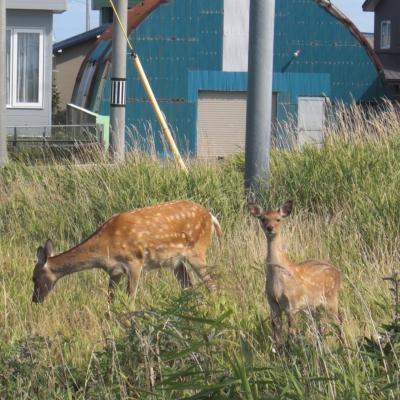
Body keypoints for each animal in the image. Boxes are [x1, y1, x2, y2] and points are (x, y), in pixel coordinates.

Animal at [31, 200, 223, 304]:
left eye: (34, 278)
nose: (34, 300)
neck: (105, 246)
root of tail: (211, 216)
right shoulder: (114, 271)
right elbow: (109, 302)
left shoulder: (134, 262)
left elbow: (130, 300)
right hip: (176, 262)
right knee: (190, 288)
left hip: (197, 251)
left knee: (212, 285)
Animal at [250, 202, 340, 342]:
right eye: (263, 219)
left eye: (278, 219)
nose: (270, 228)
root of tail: (338, 273)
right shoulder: (272, 304)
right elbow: (277, 337)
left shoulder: (293, 304)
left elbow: (290, 334)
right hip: (315, 307)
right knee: (320, 327)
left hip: (331, 298)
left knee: (339, 324)